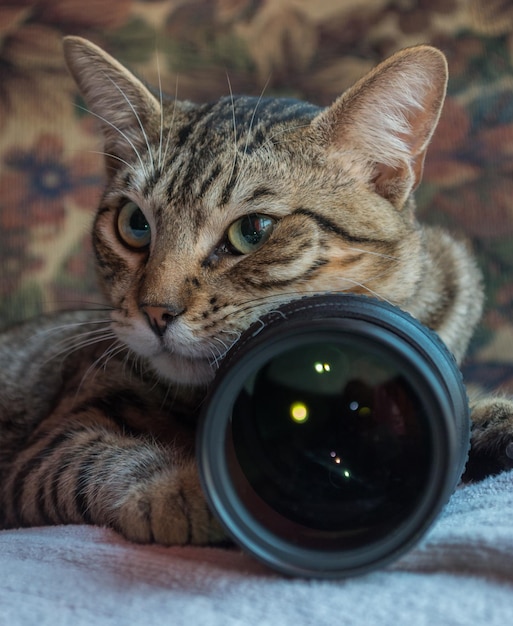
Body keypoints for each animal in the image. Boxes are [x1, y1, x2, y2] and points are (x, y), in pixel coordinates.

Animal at [0, 36, 510, 544]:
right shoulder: (53, 440)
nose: (156, 312)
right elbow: (101, 462)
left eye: (253, 230)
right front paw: (192, 491)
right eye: (134, 224)